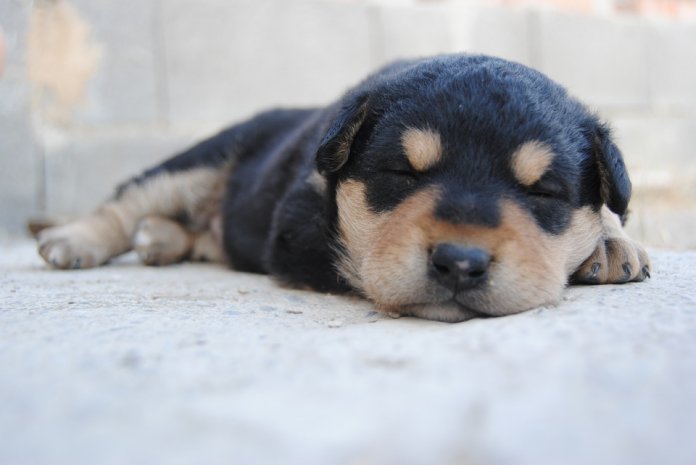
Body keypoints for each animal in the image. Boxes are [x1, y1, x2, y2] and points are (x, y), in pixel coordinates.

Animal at [35, 54, 648, 320]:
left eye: (543, 192)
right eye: (402, 174)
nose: (460, 263)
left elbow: (611, 208)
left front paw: (611, 241)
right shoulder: (300, 228)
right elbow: (361, 256)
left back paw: (158, 240)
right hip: (200, 160)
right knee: (129, 200)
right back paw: (73, 241)